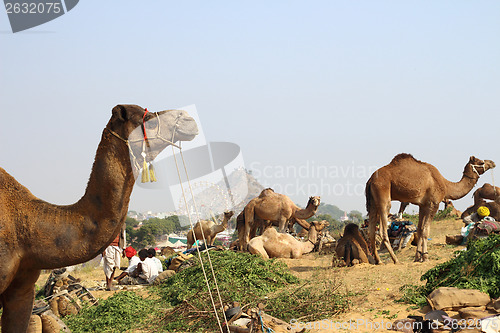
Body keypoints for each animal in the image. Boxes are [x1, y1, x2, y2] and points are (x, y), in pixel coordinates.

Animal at [366, 152, 494, 264]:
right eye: (481, 162)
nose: (492, 162)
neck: (446, 185)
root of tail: (370, 180)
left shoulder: (423, 205)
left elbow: (420, 229)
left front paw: (417, 257)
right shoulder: (434, 204)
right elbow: (426, 231)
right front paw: (426, 257)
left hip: (372, 202)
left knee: (371, 231)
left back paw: (378, 261)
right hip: (383, 194)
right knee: (382, 230)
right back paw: (395, 260)